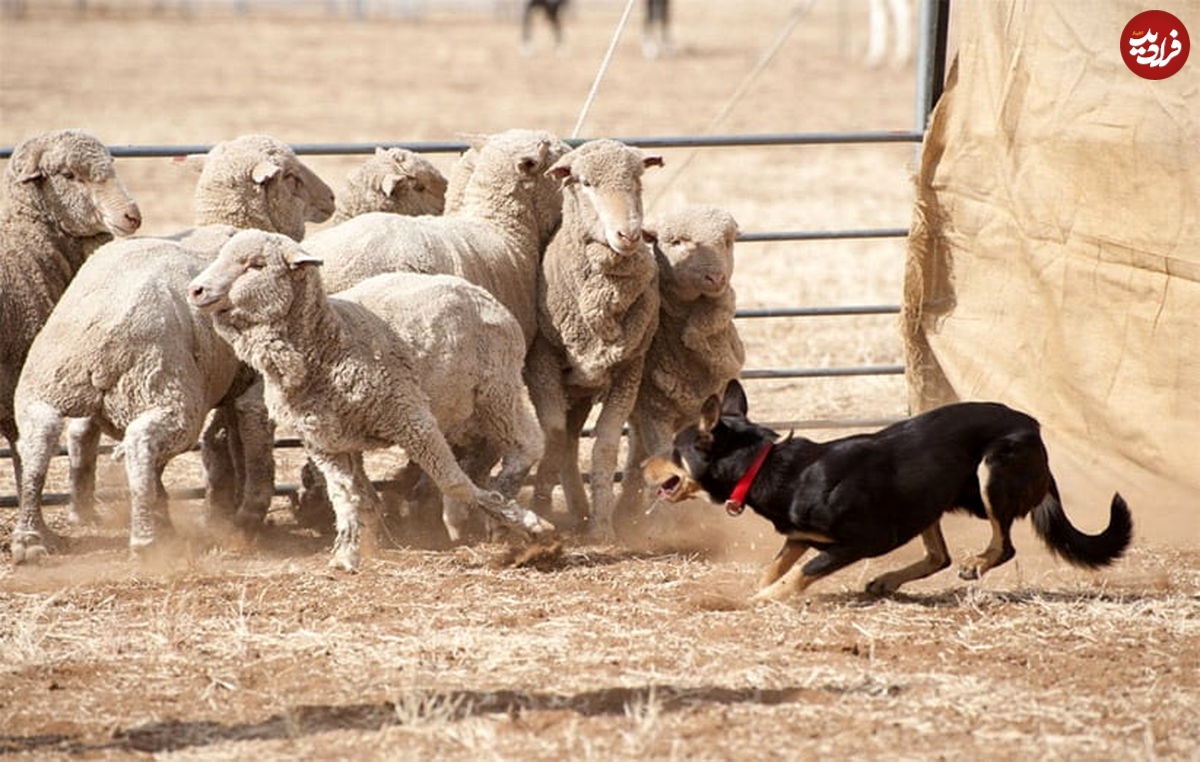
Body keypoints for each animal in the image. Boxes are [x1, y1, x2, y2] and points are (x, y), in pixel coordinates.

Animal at [189, 229, 554, 568]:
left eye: (255, 265)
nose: (196, 290)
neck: (330, 344)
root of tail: (476, 290)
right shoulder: (326, 444)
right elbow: (346, 497)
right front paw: (347, 554)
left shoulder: (413, 420)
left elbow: (453, 482)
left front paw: (528, 522)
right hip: (461, 405)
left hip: (497, 390)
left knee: (527, 444)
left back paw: (504, 504)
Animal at [523, 138, 662, 542]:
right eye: (585, 183)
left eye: (638, 179)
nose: (629, 235)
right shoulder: (541, 362)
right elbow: (553, 437)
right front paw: (540, 510)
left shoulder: (630, 369)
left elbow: (604, 446)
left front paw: (602, 528)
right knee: (566, 441)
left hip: (584, 387)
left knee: (575, 442)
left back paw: (584, 510)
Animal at [614, 204, 744, 525]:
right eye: (676, 242)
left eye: (727, 241)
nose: (716, 278)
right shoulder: (654, 411)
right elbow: (663, 456)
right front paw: (667, 523)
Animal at [643, 381, 1128, 602]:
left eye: (673, 449)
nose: (645, 465)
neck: (765, 464)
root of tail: (1032, 427)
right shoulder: (798, 536)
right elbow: (776, 566)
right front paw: (756, 591)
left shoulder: (860, 541)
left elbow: (801, 572)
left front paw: (766, 599)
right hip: (928, 496)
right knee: (938, 556)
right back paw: (887, 581)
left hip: (992, 473)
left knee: (1002, 545)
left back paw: (976, 563)